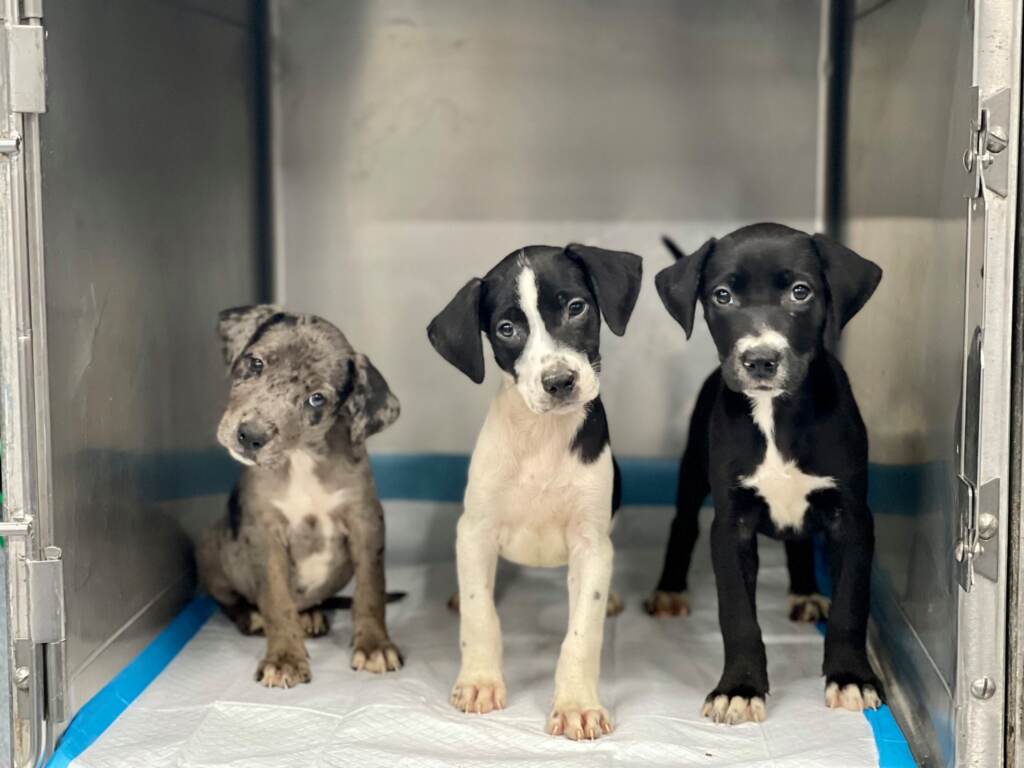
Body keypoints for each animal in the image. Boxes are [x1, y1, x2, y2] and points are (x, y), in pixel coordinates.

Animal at [430, 244, 638, 741]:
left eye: (576, 307)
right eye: (507, 329)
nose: (559, 382)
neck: (542, 436)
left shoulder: (590, 545)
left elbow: (582, 633)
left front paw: (577, 704)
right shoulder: (476, 530)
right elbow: (479, 614)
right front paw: (480, 680)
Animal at [655, 224, 888, 729]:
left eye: (800, 291)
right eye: (722, 295)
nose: (760, 359)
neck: (776, 413)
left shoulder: (852, 518)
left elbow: (851, 603)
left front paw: (850, 678)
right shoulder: (731, 525)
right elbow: (737, 614)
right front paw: (739, 689)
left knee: (799, 543)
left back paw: (805, 593)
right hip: (692, 469)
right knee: (682, 523)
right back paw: (668, 589)